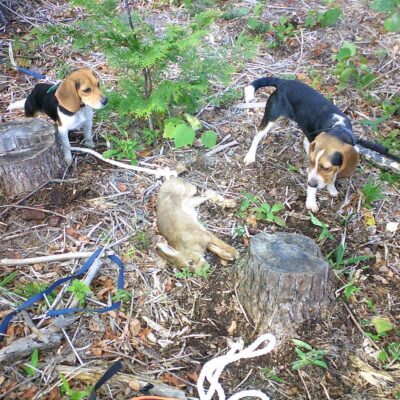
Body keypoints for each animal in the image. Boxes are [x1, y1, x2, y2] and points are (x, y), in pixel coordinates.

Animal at [244, 76, 360, 212]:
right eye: (312, 162)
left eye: (326, 168)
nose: (310, 183)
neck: (338, 129)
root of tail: (283, 81)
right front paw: (311, 202)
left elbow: (332, 176)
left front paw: (331, 189)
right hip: (271, 117)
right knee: (257, 136)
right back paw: (250, 156)